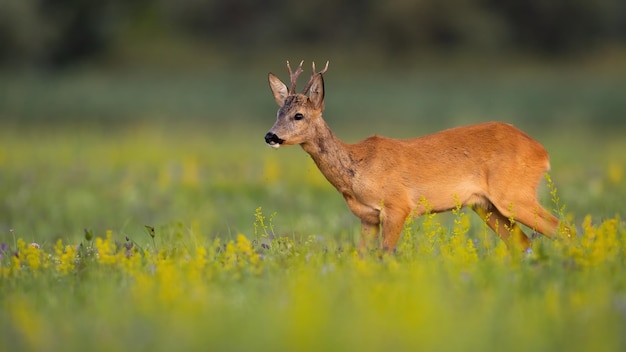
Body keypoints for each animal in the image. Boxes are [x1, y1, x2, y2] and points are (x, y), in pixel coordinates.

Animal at [260, 61, 560, 253]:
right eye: (278, 113)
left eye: (299, 115)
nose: (270, 136)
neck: (357, 171)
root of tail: (542, 151)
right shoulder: (368, 218)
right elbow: (361, 259)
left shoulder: (397, 206)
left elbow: (386, 255)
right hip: (485, 206)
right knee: (524, 243)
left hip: (514, 195)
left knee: (561, 229)